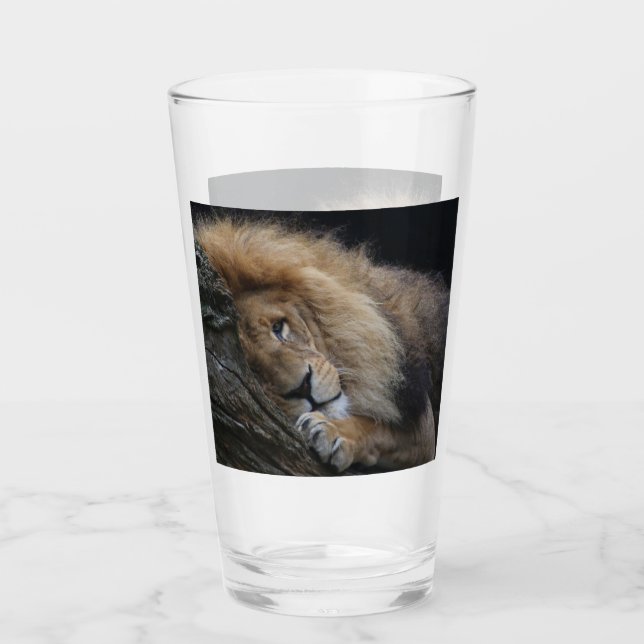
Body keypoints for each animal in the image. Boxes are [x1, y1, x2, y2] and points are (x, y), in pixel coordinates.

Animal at [196, 218, 449, 473]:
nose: (303, 388)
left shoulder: (420, 422)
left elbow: (375, 428)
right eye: (252, 369)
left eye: (278, 327)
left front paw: (332, 430)